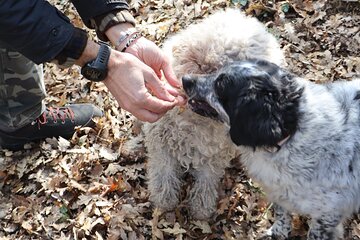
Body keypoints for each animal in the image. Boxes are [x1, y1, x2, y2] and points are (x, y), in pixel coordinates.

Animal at [142, 8, 286, 219]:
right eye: (200, 64)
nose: (187, 82)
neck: (195, 124)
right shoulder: (161, 142)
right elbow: (163, 170)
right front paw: (164, 198)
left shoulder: (215, 156)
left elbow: (207, 178)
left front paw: (201, 207)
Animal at [183, 58, 360, 240]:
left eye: (220, 85)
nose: (185, 79)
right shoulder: (279, 192)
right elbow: (282, 216)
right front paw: (277, 234)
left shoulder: (328, 214)